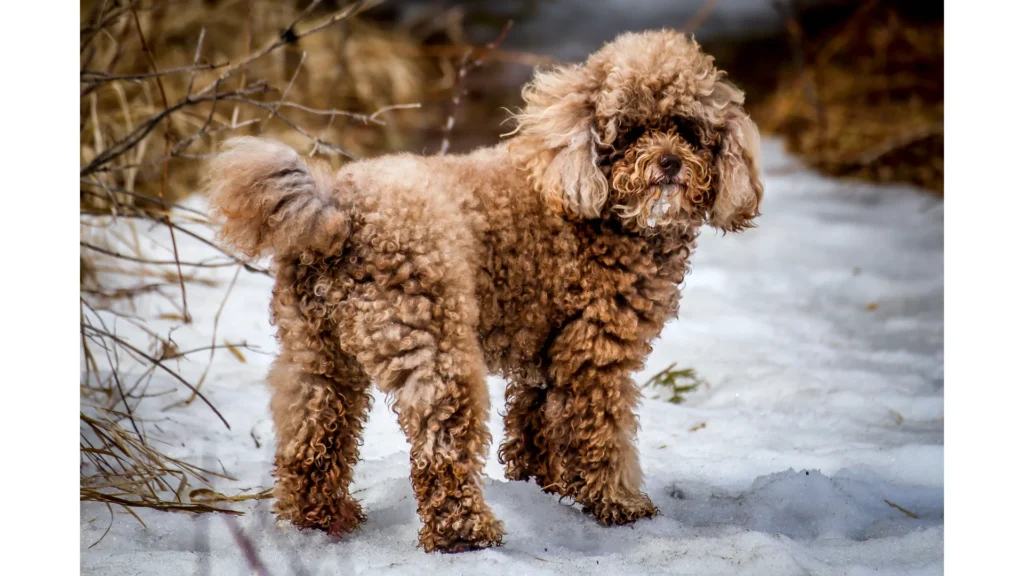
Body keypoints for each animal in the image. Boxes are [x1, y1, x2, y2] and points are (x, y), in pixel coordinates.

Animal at [205, 28, 761, 553]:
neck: (592, 204)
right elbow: (601, 436)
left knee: (311, 436)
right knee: (441, 449)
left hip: (316, 354)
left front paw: (545, 490)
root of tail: (338, 212)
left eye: (688, 130)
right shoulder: (593, 354)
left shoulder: (545, 351)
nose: (668, 163)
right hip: (434, 344)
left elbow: (536, 426)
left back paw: (319, 520)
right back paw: (465, 533)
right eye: (630, 130)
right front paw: (620, 506)